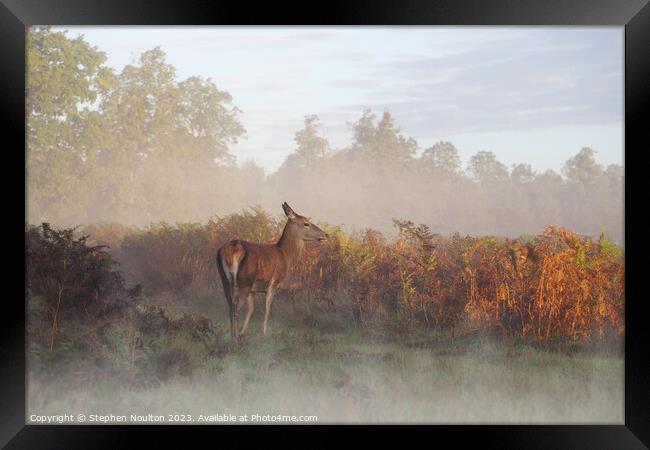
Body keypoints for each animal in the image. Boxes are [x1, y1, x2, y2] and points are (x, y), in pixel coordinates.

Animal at [216, 203, 330, 342]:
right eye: (306, 223)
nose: (326, 234)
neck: (285, 255)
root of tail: (232, 249)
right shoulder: (274, 282)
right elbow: (267, 308)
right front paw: (263, 334)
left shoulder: (253, 289)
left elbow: (251, 309)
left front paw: (244, 333)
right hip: (244, 281)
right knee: (236, 307)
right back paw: (234, 338)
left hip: (225, 279)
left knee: (230, 305)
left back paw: (233, 335)